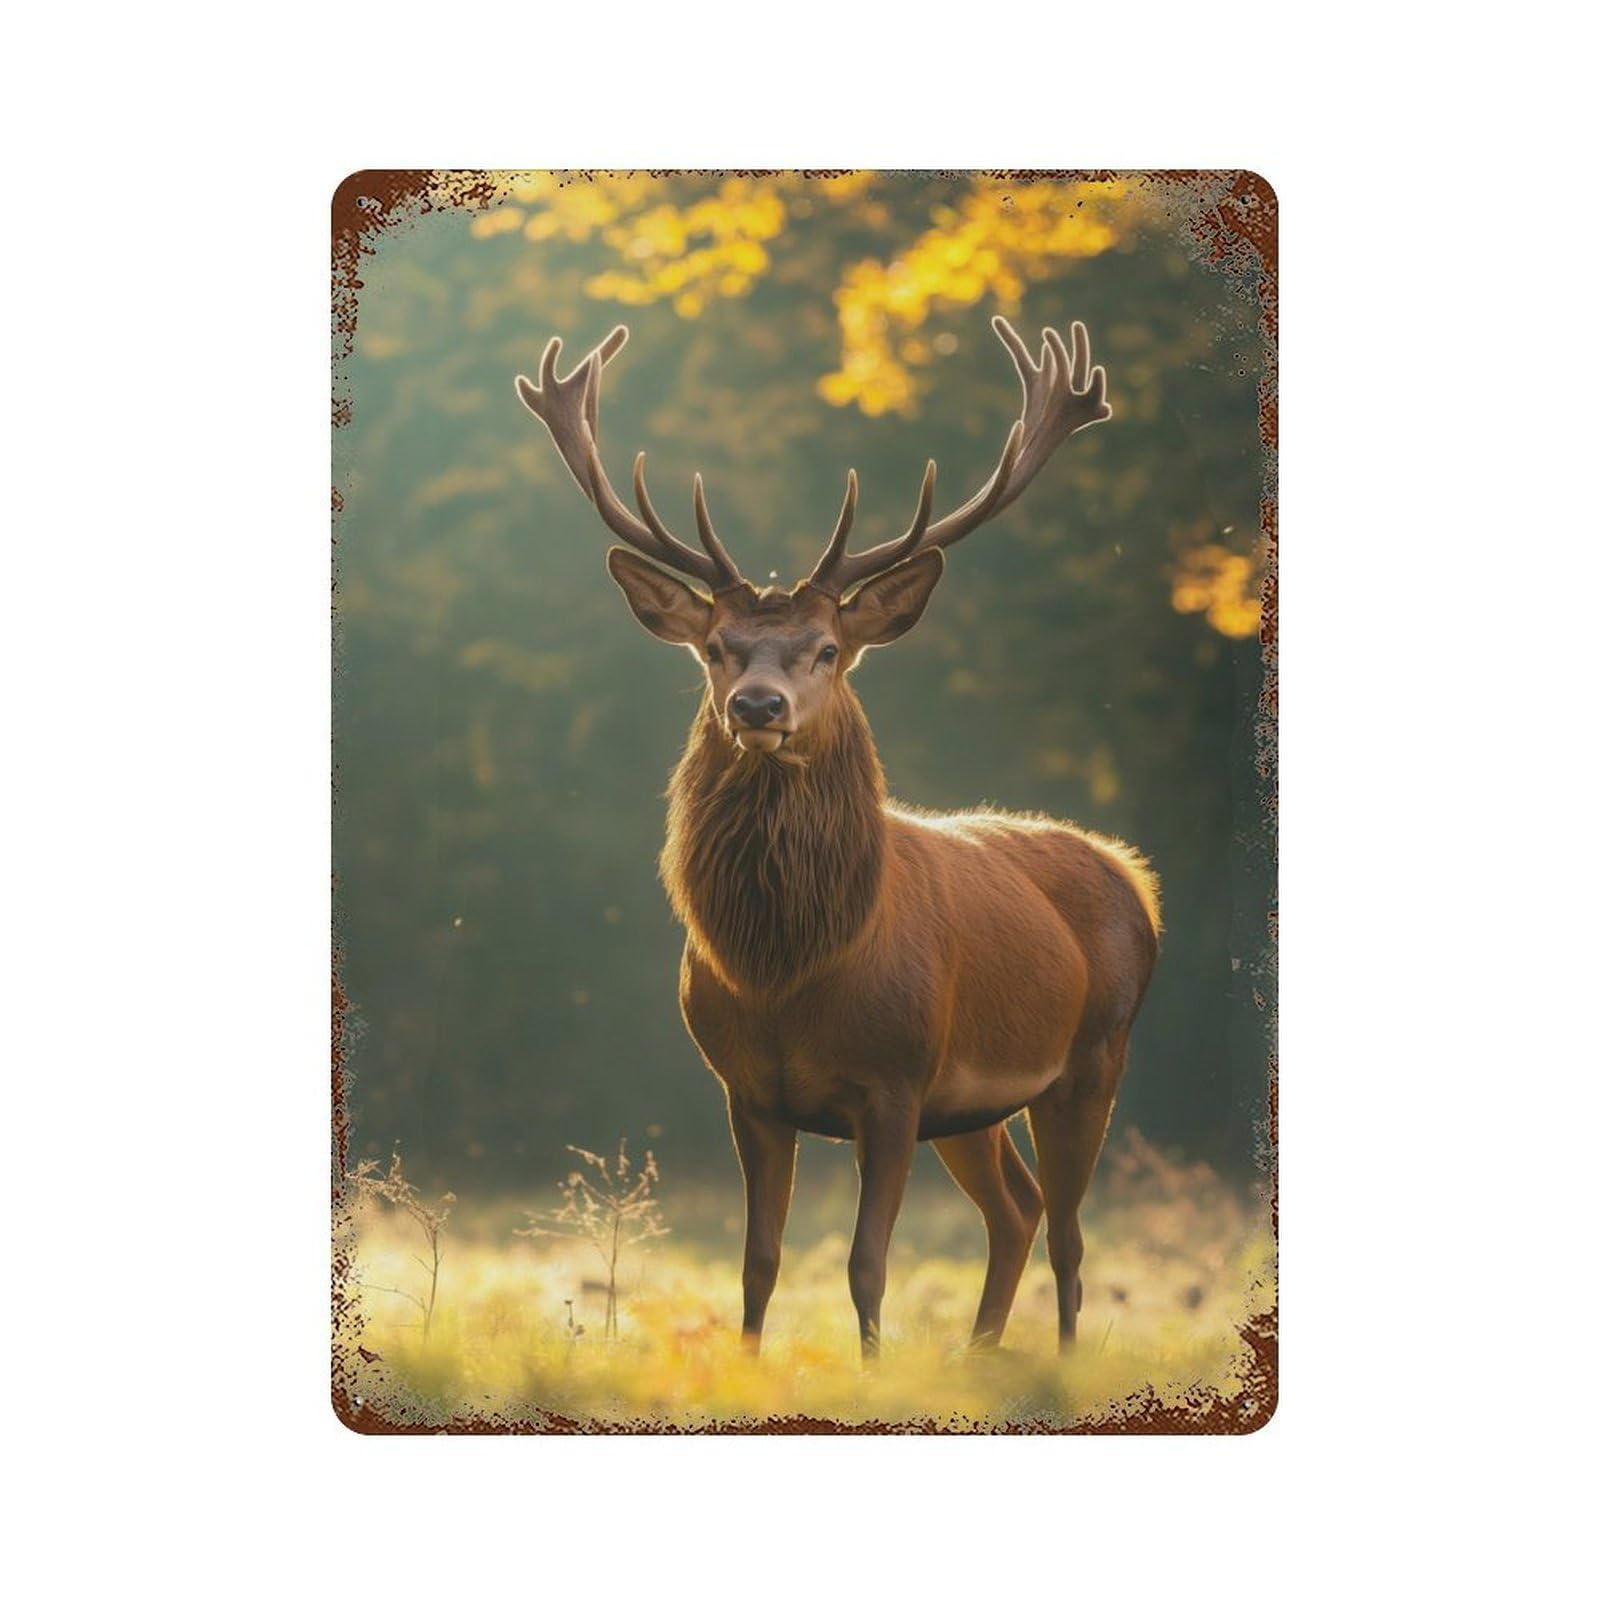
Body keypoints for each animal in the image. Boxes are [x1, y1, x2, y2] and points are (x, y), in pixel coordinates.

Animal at [515, 315, 1160, 1359]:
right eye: (716, 648)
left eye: (826, 650)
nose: (758, 705)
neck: (790, 971)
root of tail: (1133, 876)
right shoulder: (747, 1090)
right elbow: (759, 1262)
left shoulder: (895, 1082)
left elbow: (865, 1265)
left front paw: (872, 1370)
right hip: (973, 1107)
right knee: (1017, 1211)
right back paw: (978, 1357)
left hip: (1093, 1056)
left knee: (1068, 1233)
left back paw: (1056, 1362)